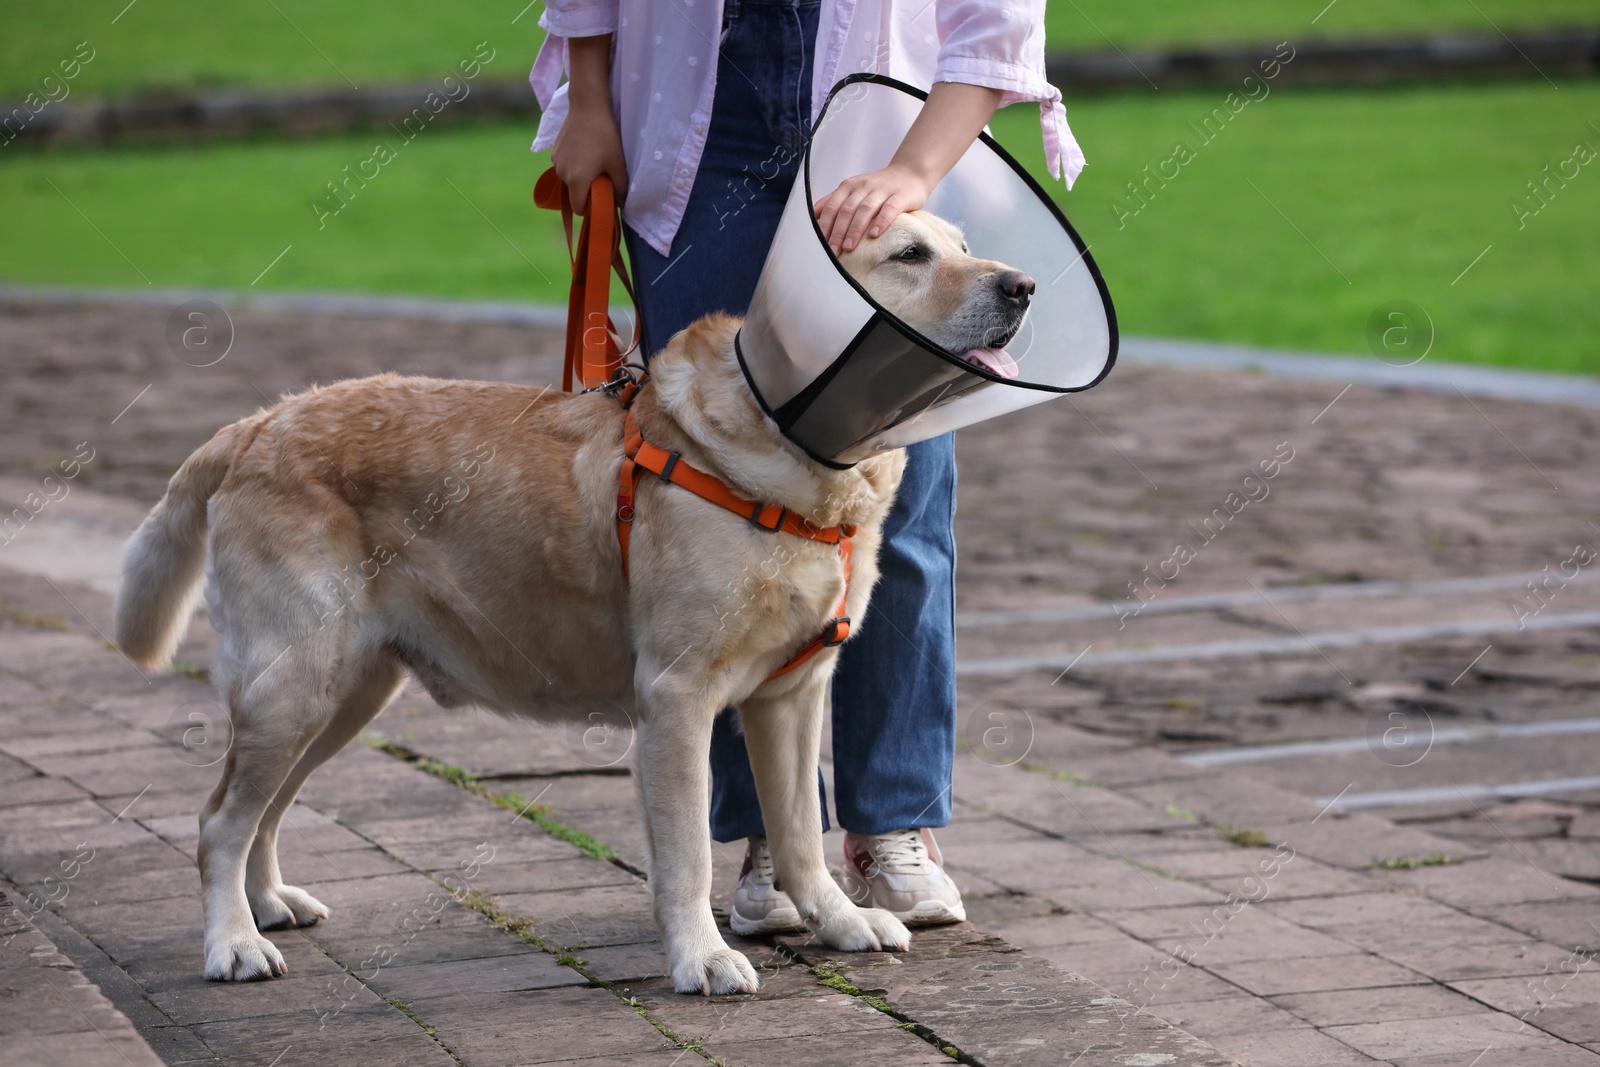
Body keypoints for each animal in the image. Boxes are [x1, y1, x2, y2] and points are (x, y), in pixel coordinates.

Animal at [118, 211, 1030, 1004]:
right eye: (909, 254)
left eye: (962, 245)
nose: (1022, 284)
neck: (794, 451)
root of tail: (255, 423)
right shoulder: (677, 700)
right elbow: (689, 857)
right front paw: (701, 958)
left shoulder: (791, 694)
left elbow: (803, 833)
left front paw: (840, 923)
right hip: (295, 683)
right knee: (218, 819)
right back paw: (233, 943)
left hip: (346, 691)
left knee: (264, 811)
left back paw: (268, 904)